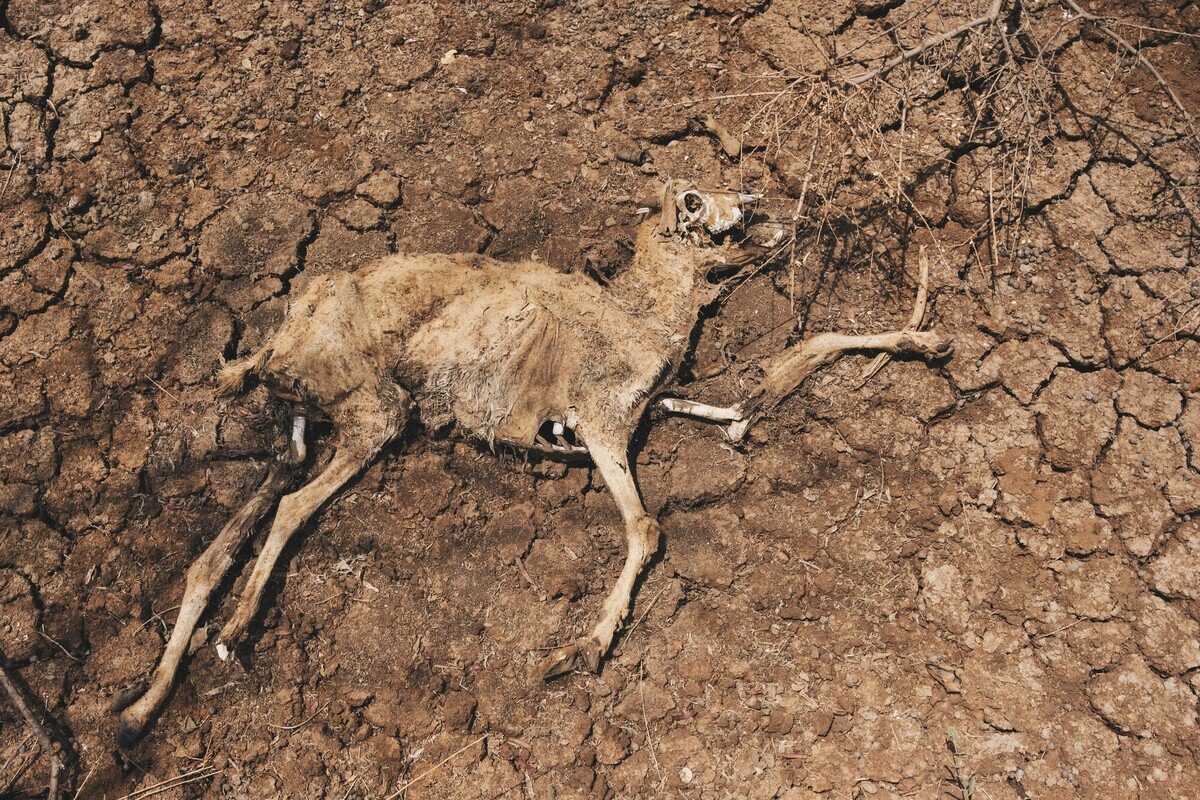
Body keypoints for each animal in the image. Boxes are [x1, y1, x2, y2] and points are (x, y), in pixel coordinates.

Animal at [115, 181, 952, 743]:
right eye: (701, 201)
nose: (768, 206)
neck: (646, 312)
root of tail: (285, 334)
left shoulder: (658, 407)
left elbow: (771, 382)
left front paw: (929, 340)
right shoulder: (607, 423)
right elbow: (646, 528)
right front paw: (581, 648)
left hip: (304, 433)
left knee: (218, 545)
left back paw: (137, 715)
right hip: (374, 416)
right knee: (288, 509)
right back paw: (231, 632)